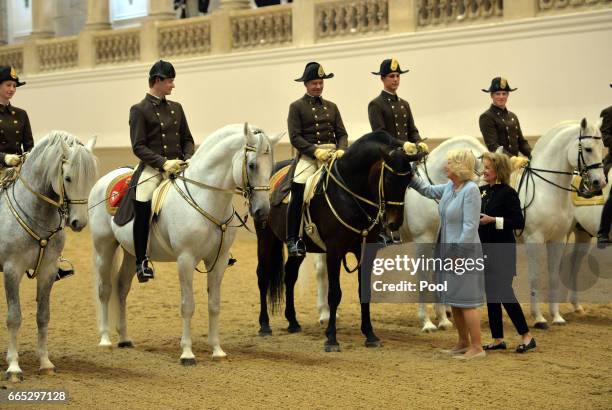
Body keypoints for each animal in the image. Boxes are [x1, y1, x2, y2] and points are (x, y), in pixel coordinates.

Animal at [0, 132, 97, 382]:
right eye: (68, 178)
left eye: (91, 178)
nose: (78, 223)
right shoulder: (12, 270)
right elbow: (14, 317)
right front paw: (13, 367)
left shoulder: (48, 270)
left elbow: (43, 316)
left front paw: (45, 363)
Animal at [88, 123, 280, 364]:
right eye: (252, 165)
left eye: (270, 165)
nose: (262, 211)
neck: (205, 197)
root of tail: (105, 180)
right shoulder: (186, 259)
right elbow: (188, 305)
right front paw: (187, 353)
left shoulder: (218, 260)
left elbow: (214, 304)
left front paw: (217, 350)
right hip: (103, 247)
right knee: (105, 290)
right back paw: (105, 339)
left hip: (131, 252)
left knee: (122, 288)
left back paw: (124, 338)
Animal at [255, 132, 426, 352]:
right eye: (388, 179)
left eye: (408, 181)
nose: (394, 223)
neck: (350, 194)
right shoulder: (335, 251)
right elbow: (334, 293)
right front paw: (331, 338)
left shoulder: (366, 251)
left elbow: (364, 292)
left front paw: (370, 335)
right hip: (265, 237)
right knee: (263, 276)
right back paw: (264, 325)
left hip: (300, 249)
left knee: (290, 275)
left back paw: (293, 322)